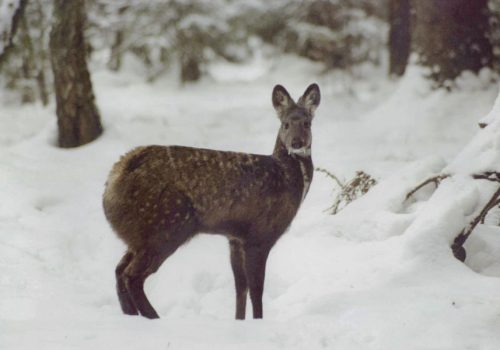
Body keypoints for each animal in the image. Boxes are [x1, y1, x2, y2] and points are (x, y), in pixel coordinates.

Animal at [102, 82, 320, 320]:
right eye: (285, 124)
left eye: (307, 123)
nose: (297, 143)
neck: (285, 176)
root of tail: (113, 180)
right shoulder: (260, 234)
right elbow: (256, 289)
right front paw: (258, 322)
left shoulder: (235, 238)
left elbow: (240, 287)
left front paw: (239, 321)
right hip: (165, 226)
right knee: (131, 276)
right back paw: (154, 318)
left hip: (139, 235)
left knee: (119, 271)